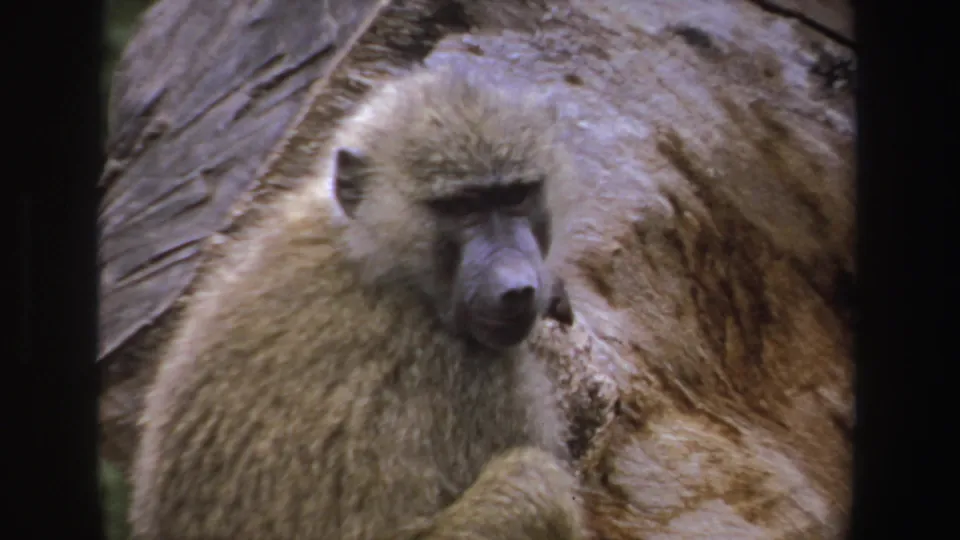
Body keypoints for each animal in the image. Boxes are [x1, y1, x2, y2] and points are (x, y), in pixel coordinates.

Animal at [129, 64, 584, 540]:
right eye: (461, 207)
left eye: (516, 195)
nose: (517, 288)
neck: (379, 257)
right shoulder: (478, 376)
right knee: (536, 485)